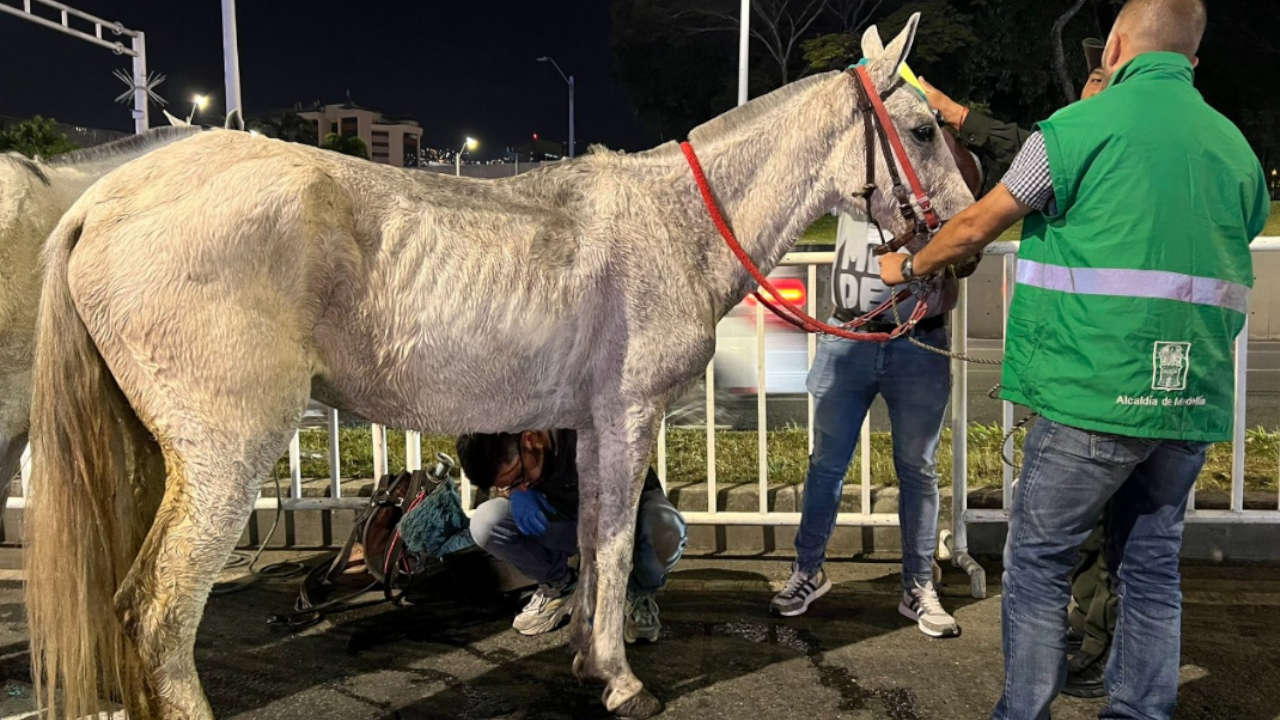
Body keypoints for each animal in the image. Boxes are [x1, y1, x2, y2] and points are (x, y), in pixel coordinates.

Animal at [24, 14, 971, 719]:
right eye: (922, 129)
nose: (961, 249)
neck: (673, 223)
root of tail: (100, 203)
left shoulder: (591, 426)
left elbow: (591, 541)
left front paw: (590, 657)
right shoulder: (628, 415)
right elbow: (616, 544)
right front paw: (619, 679)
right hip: (225, 455)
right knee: (159, 611)